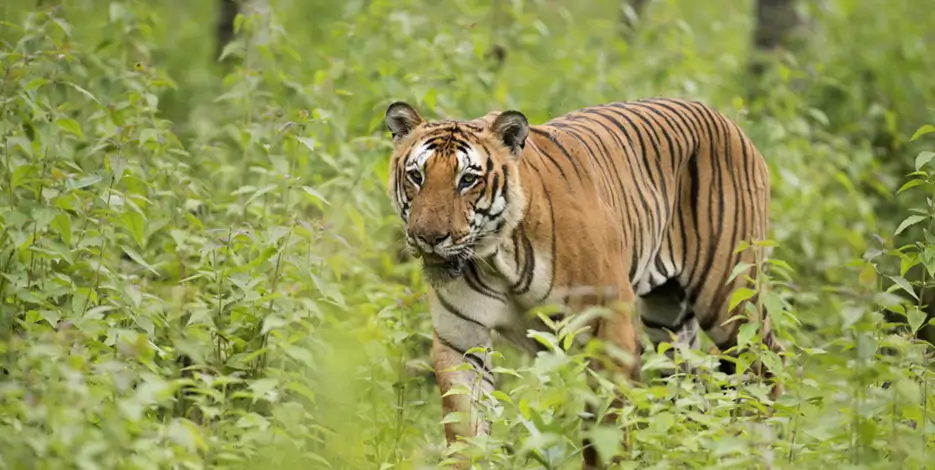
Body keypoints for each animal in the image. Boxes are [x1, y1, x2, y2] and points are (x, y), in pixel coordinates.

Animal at [383, 97, 784, 468]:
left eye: (467, 179)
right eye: (417, 176)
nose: (428, 237)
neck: (496, 257)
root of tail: (722, 117)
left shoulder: (610, 333)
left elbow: (606, 433)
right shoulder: (461, 340)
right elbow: (466, 433)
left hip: (730, 297)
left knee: (765, 365)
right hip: (667, 317)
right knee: (687, 386)